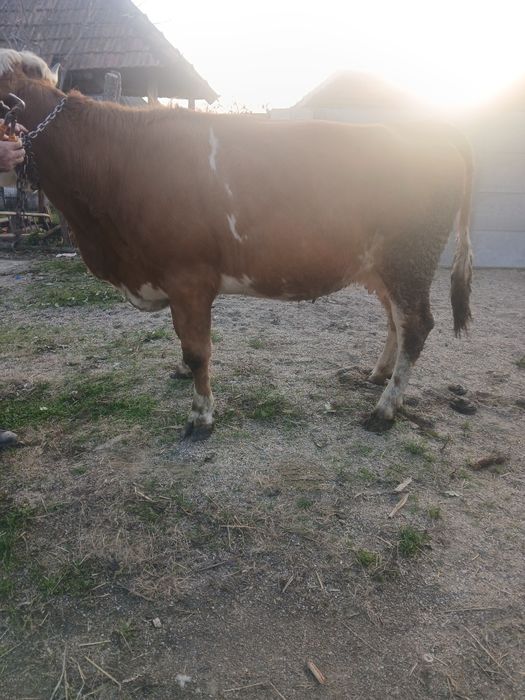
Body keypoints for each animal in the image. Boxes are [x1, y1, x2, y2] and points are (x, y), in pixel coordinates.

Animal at [0, 50, 473, 440]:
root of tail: (437, 136)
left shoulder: (188, 277)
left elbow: (197, 352)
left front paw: (201, 417)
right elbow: (185, 345)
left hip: (409, 258)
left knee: (416, 326)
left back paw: (384, 410)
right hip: (384, 267)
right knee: (396, 321)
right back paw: (377, 376)